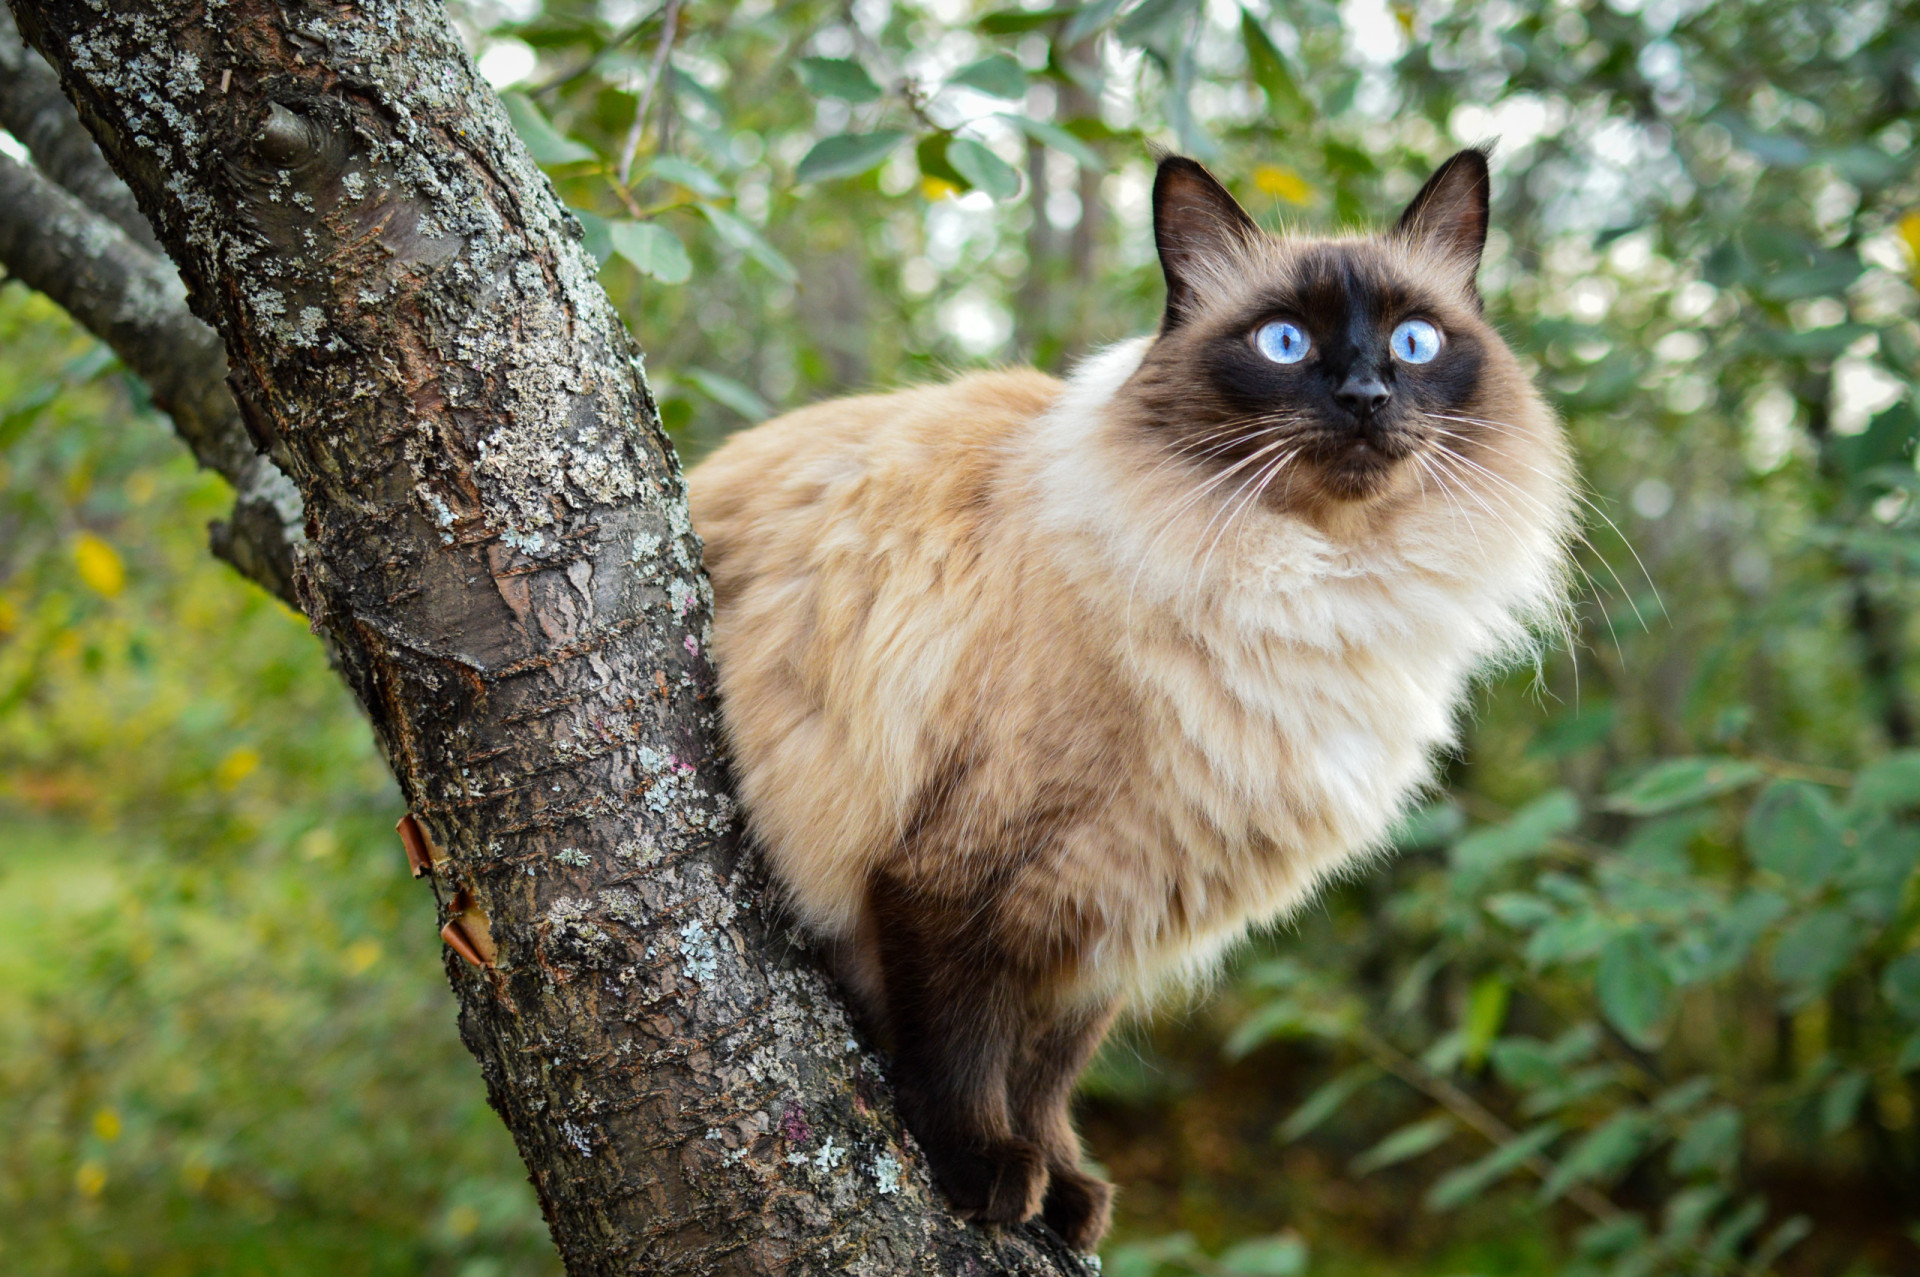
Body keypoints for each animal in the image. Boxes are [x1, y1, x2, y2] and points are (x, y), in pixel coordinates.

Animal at [691, 146, 1574, 1244]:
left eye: (1415, 342)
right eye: (1284, 342)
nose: (1368, 392)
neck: (1320, 590)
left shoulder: (1113, 903)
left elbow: (1047, 1071)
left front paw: (1064, 1187)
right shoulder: (959, 874)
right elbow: (963, 1045)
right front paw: (985, 1169)